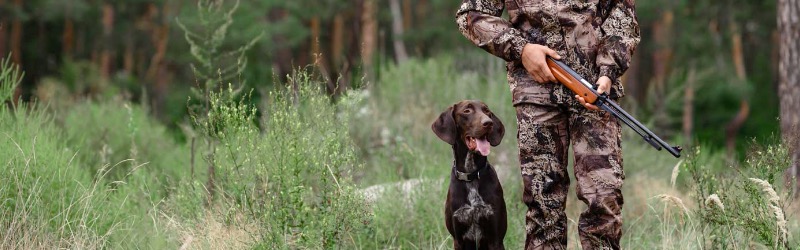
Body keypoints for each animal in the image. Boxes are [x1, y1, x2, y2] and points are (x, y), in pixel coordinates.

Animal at [432, 100, 506, 249]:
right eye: (467, 111)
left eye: (487, 111)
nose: (488, 122)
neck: (471, 175)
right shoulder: (458, 240)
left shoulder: (496, 239)